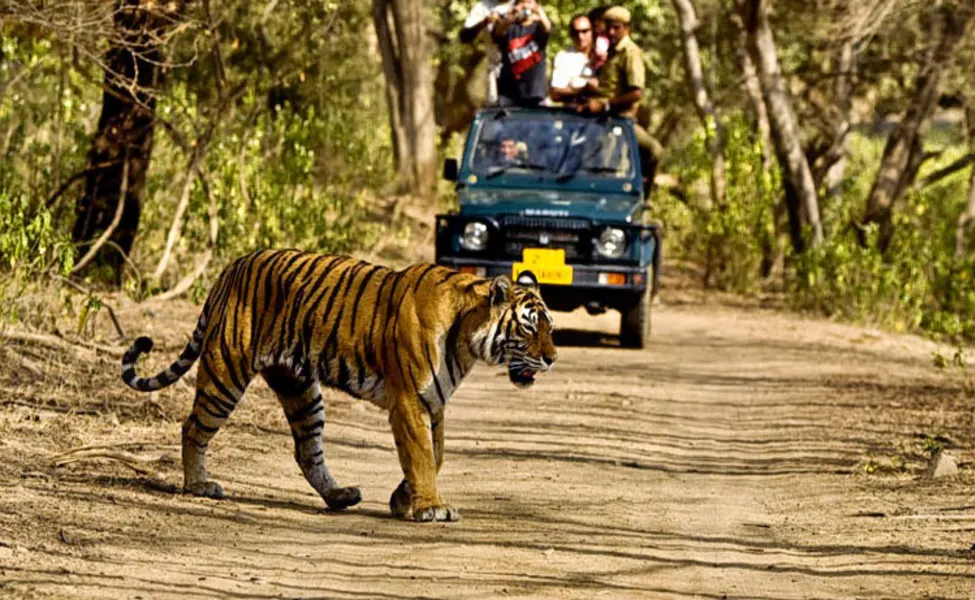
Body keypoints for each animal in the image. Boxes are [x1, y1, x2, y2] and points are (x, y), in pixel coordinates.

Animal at [122, 248, 556, 520]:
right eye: (529, 326)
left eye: (550, 327)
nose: (552, 358)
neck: (466, 338)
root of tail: (232, 267)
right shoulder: (410, 400)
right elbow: (421, 455)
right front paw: (430, 506)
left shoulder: (435, 403)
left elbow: (436, 455)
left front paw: (403, 499)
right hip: (226, 371)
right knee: (193, 426)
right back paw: (199, 484)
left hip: (300, 388)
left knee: (307, 451)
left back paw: (339, 495)